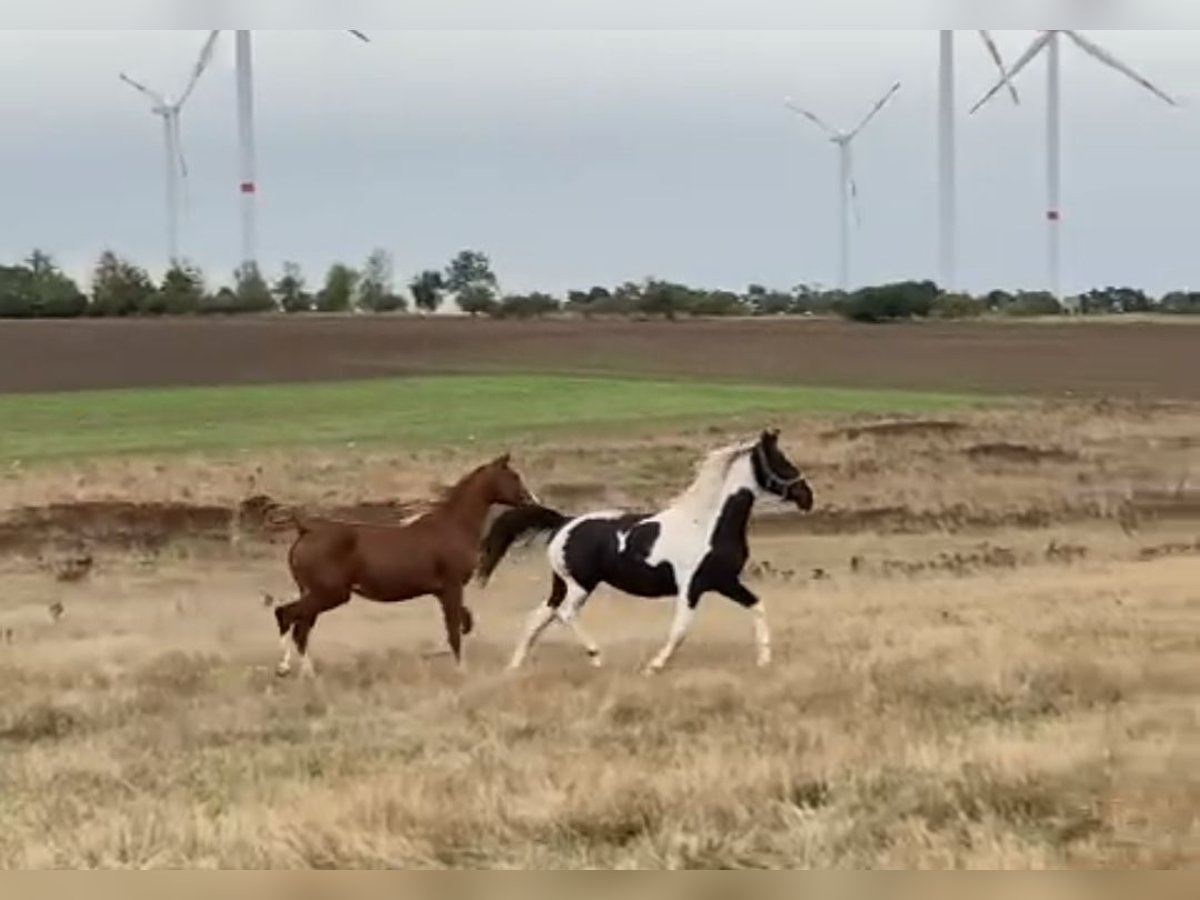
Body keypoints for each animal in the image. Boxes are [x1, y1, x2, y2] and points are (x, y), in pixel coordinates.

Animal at [272, 458, 540, 676]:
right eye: (513, 476)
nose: (532, 501)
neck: (453, 526)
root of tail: (306, 530)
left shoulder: (442, 592)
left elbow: (462, 622)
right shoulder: (452, 587)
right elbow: (455, 629)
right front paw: (460, 670)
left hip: (316, 594)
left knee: (300, 629)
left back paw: (307, 673)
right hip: (330, 594)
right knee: (286, 615)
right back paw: (285, 668)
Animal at [472, 432, 811, 676]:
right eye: (781, 460)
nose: (807, 497)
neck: (707, 523)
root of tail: (563, 523)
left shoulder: (724, 581)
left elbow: (757, 606)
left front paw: (764, 660)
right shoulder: (692, 587)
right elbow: (680, 629)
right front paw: (654, 666)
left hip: (562, 583)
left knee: (539, 616)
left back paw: (514, 666)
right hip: (581, 585)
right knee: (565, 614)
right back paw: (596, 656)